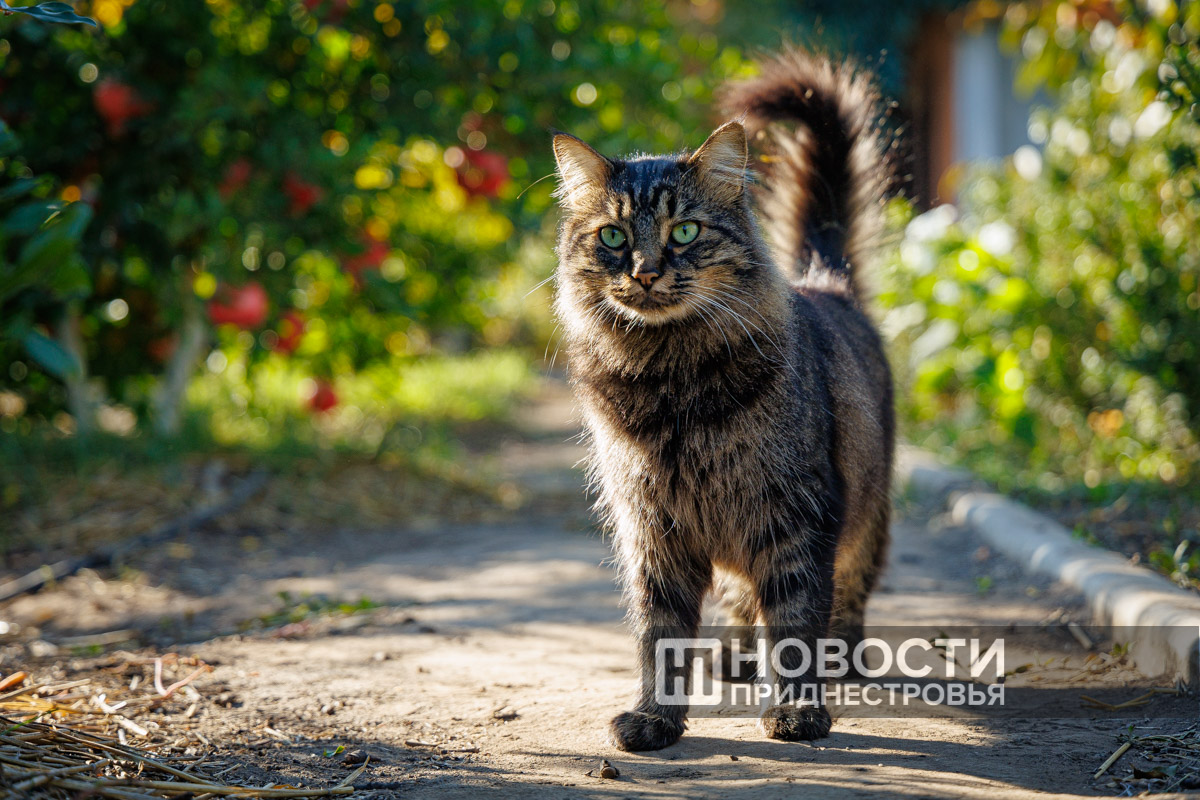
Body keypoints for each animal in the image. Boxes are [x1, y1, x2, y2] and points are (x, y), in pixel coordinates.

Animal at [551, 48, 895, 751]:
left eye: (684, 231)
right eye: (613, 238)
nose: (645, 272)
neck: (671, 383)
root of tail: (825, 283)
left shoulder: (798, 512)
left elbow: (794, 621)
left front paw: (797, 711)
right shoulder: (651, 527)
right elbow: (659, 635)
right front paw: (655, 718)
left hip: (867, 511)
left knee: (848, 588)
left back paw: (842, 657)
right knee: (740, 599)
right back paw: (736, 657)